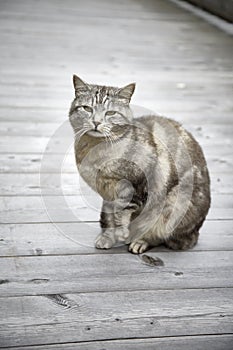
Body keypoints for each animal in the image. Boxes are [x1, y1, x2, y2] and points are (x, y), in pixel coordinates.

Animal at [69, 74, 211, 254]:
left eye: (111, 113)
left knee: (163, 235)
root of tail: (196, 231)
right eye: (87, 109)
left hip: (174, 206)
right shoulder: (107, 194)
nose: (96, 122)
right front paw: (108, 237)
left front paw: (121, 232)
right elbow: (108, 216)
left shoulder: (136, 185)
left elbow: (121, 211)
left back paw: (140, 241)